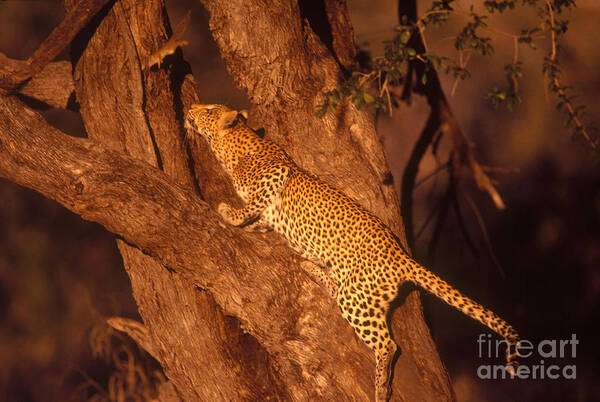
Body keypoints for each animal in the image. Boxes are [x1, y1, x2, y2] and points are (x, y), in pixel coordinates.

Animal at [184, 103, 520, 402]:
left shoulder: (274, 177)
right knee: (334, 287)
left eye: (209, 109)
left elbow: (248, 207)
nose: (189, 108)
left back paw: (380, 388)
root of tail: (402, 257)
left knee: (387, 344)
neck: (234, 149)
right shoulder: (269, 216)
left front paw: (226, 211)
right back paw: (312, 268)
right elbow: (258, 222)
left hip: (357, 297)